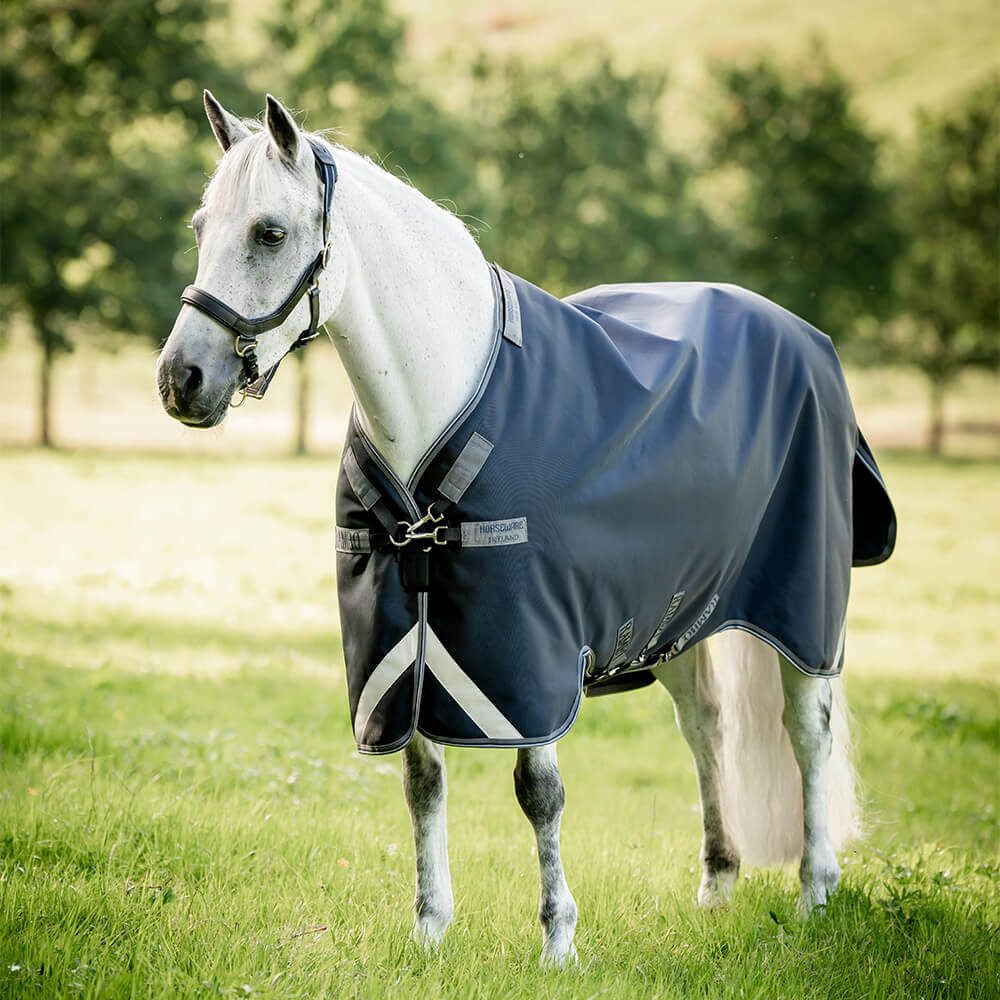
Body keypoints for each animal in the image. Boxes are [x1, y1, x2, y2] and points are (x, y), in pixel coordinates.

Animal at [157, 92, 895, 967]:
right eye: (202, 226)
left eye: (269, 232)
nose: (180, 380)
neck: (439, 401)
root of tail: (803, 335)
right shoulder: (404, 639)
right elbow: (422, 781)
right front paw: (430, 930)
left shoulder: (526, 650)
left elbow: (539, 792)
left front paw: (558, 940)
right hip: (683, 615)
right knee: (706, 729)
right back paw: (717, 883)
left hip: (803, 611)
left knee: (806, 733)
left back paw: (817, 890)